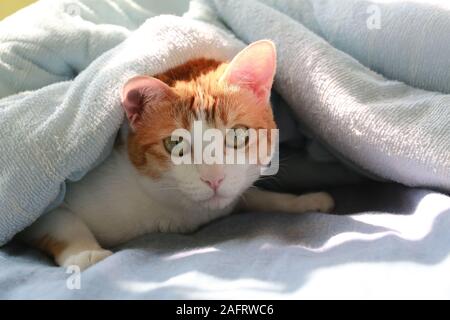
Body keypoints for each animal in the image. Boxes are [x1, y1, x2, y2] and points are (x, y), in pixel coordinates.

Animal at [19, 40, 334, 270]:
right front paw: (84, 253)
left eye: (237, 135)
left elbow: (257, 197)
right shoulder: (46, 200)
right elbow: (58, 219)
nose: (214, 180)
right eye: (175, 144)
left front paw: (303, 201)